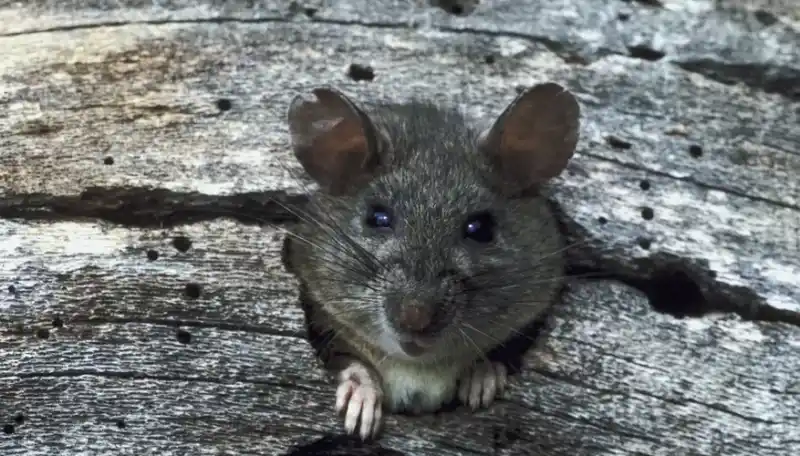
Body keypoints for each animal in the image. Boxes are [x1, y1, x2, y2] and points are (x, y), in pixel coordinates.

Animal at [281, 82, 580, 440]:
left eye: (480, 228)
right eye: (377, 217)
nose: (415, 319)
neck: (417, 364)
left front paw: (482, 379)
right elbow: (349, 361)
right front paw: (361, 403)